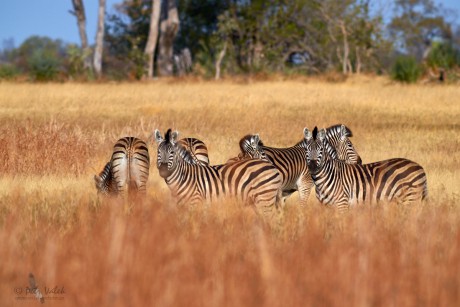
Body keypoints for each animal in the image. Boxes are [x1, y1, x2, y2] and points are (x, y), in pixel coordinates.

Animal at [155, 129, 284, 218]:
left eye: (172, 152)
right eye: (158, 152)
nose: (163, 170)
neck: (184, 176)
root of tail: (274, 169)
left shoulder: (195, 203)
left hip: (264, 200)